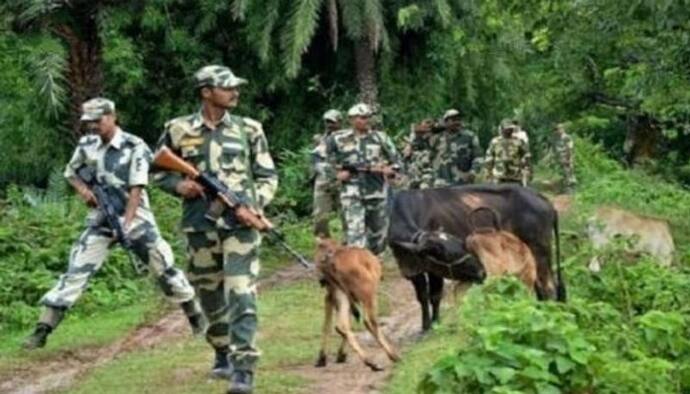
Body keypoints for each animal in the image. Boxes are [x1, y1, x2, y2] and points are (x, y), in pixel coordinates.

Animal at [312, 237, 398, 372]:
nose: (321, 280)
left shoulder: (333, 296)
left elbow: (332, 325)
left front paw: (331, 357)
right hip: (368, 294)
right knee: (369, 321)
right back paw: (391, 356)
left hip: (342, 294)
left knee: (341, 326)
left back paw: (370, 361)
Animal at [384, 183, 560, 330]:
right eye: (447, 254)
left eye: (462, 245)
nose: (482, 272)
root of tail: (543, 199)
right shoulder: (413, 270)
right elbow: (422, 296)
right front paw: (426, 325)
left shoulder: (433, 271)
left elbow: (434, 295)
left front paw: (434, 324)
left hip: (539, 251)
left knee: (548, 287)